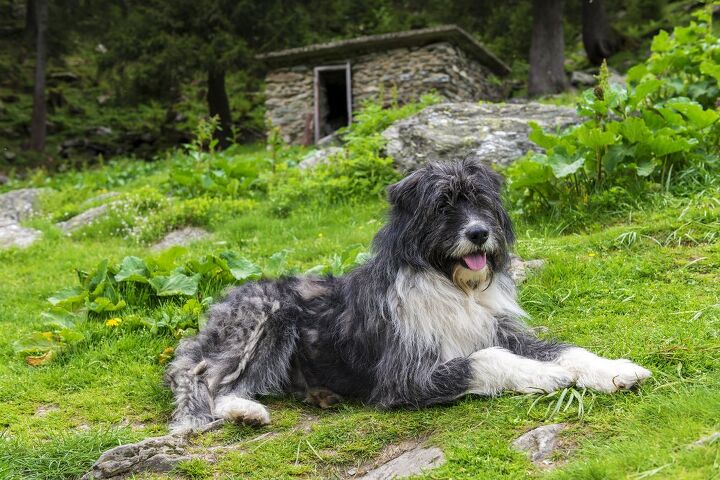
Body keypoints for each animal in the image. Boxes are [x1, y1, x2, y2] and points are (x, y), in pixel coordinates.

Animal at [167, 158, 652, 432]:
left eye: (481, 200)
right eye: (443, 205)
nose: (479, 233)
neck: (453, 285)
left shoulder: (504, 330)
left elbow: (567, 350)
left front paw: (615, 369)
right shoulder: (405, 375)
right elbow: (487, 359)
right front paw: (545, 375)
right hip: (265, 318)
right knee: (208, 380)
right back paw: (243, 411)